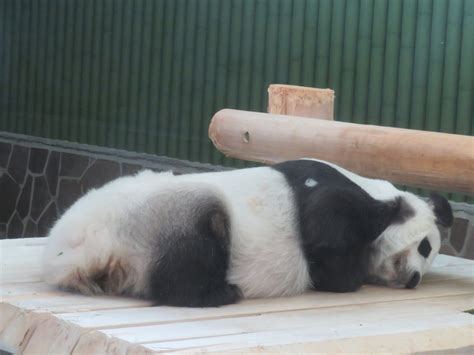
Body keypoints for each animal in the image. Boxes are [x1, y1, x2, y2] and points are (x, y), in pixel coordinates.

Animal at [41, 160, 452, 308]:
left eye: (429, 256)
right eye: (424, 246)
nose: (414, 279)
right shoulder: (327, 190)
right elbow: (326, 235)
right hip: (158, 216)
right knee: (195, 245)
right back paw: (221, 293)